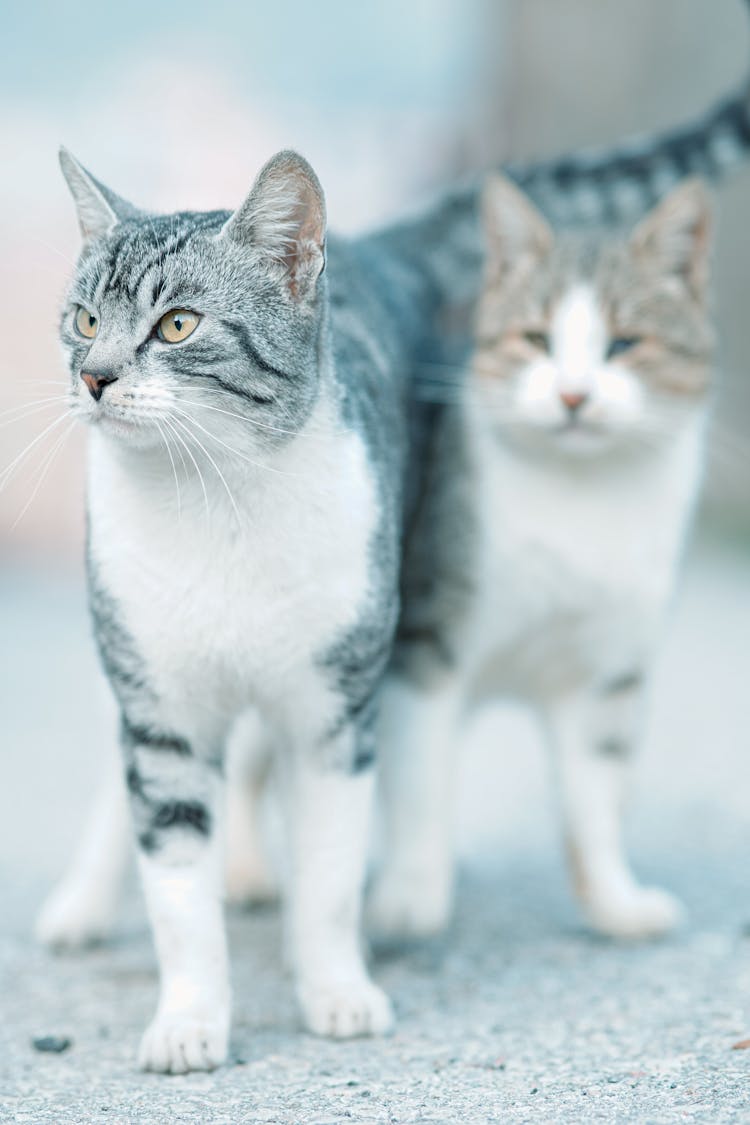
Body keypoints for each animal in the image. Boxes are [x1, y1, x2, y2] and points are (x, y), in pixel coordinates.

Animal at [368, 175, 715, 945]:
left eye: (625, 344)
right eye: (535, 339)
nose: (573, 395)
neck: (575, 498)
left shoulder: (605, 672)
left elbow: (595, 802)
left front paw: (614, 902)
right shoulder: (426, 646)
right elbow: (422, 785)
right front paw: (412, 896)